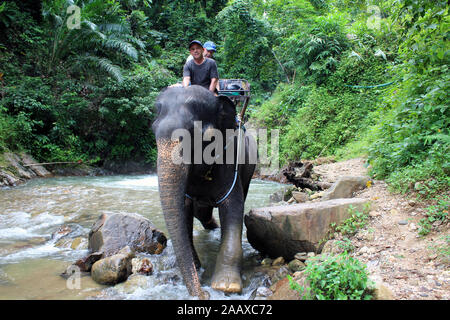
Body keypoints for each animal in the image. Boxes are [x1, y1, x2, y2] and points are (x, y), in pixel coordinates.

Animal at [152, 85, 255, 300]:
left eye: (199, 135)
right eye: (153, 131)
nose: (203, 294)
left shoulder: (230, 160)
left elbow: (233, 208)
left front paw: (226, 286)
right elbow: (183, 211)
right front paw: (197, 267)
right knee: (201, 211)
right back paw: (212, 226)